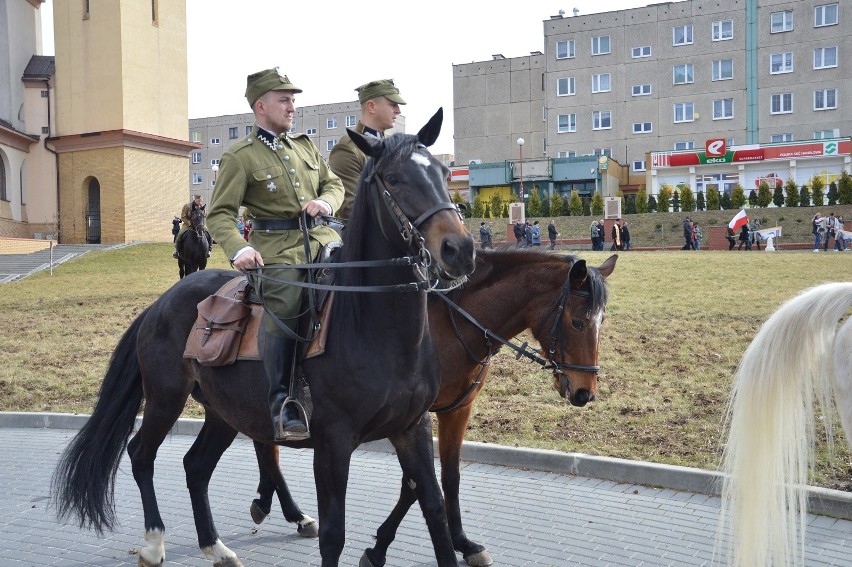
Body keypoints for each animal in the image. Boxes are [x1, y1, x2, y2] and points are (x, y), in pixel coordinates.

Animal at [51, 107, 480, 567]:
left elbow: (433, 508)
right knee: (141, 455)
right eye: (395, 179)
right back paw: (154, 542)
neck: (377, 327)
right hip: (166, 398)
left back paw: (216, 546)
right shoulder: (333, 444)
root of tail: (161, 303)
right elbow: (334, 534)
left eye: (442, 172)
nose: (459, 249)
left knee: (195, 466)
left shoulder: (412, 429)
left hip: (223, 411)